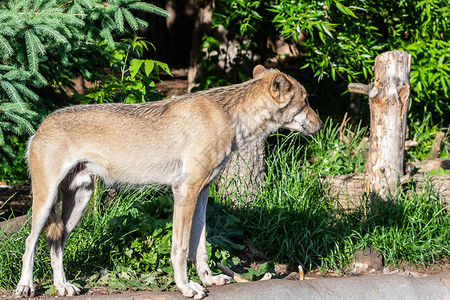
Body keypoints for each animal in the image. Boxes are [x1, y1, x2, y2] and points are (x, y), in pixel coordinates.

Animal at [14, 64, 324, 298]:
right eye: (307, 101)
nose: (321, 125)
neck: (231, 119)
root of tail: (40, 124)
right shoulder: (184, 192)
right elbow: (181, 249)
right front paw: (186, 287)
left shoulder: (201, 194)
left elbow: (200, 247)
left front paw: (208, 280)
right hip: (46, 202)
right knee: (30, 242)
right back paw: (26, 286)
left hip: (79, 201)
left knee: (56, 243)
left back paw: (62, 286)